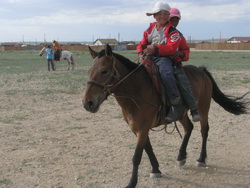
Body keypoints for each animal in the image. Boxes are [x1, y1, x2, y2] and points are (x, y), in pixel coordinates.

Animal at [82, 44, 248, 188]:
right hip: (181, 113)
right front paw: (156, 170)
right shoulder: (138, 129)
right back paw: (181, 156)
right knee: (189, 128)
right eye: (89, 71)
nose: (88, 103)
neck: (137, 90)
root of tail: (202, 71)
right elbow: (148, 149)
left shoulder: (142, 129)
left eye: (104, 71)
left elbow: (136, 157)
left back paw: (201, 159)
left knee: (204, 130)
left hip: (203, 108)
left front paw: (131, 183)